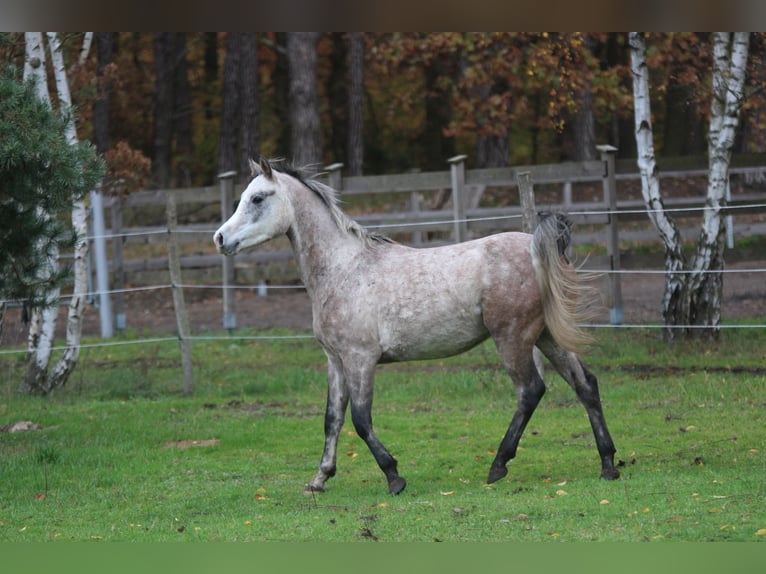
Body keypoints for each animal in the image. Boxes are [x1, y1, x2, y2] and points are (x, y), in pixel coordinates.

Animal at [213, 158, 620, 496]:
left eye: (258, 198)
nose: (219, 238)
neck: (345, 269)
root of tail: (536, 245)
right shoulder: (336, 361)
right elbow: (332, 419)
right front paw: (319, 479)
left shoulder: (360, 359)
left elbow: (360, 420)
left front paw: (394, 476)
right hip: (547, 336)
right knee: (586, 385)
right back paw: (608, 464)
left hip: (513, 338)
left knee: (531, 390)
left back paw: (498, 465)